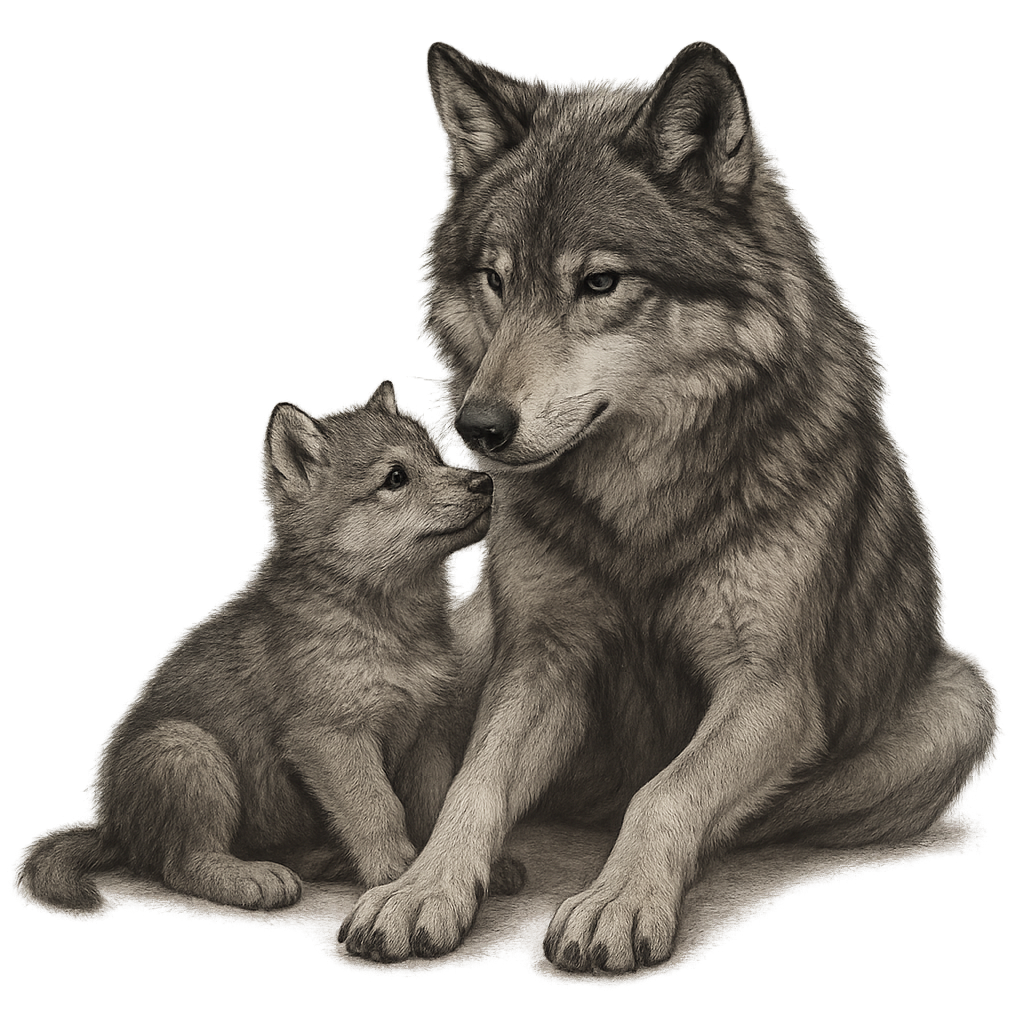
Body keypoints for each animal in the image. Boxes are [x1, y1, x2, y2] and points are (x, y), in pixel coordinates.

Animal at [22, 381, 522, 911]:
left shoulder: (426, 732)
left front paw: (435, 869)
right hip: (185, 750)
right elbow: (377, 806)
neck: (384, 619)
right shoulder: (330, 737)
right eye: (395, 477)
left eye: (437, 458)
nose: (485, 482)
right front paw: (397, 873)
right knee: (183, 862)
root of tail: (112, 830)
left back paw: (325, 859)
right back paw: (251, 877)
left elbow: (433, 803)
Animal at [339, 44, 995, 971]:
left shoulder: (770, 688)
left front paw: (615, 902)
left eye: (599, 282)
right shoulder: (540, 659)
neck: (638, 509)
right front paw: (422, 888)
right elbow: (476, 783)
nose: (478, 426)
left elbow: (667, 790)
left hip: (959, 706)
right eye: (496, 280)